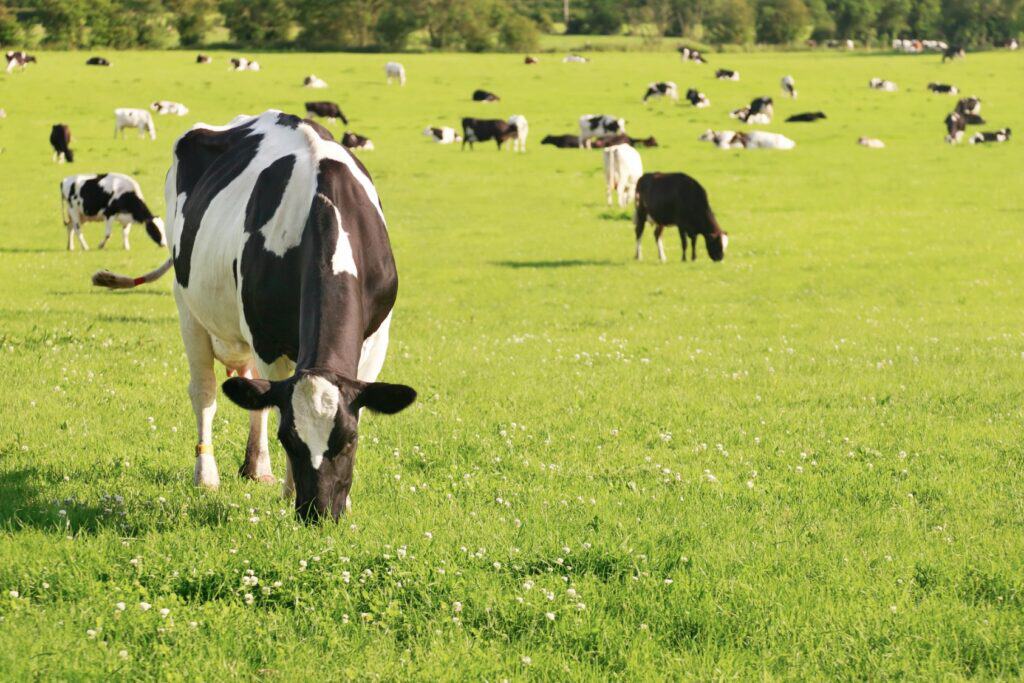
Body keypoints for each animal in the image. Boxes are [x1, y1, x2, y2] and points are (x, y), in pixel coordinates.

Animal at [89, 111, 415, 524]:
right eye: (288, 439)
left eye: (349, 439)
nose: (318, 513)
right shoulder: (267, 339)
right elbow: (270, 402)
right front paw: (289, 489)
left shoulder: (376, 340)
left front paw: (348, 500)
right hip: (188, 307)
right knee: (206, 392)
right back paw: (207, 474)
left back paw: (256, 468)